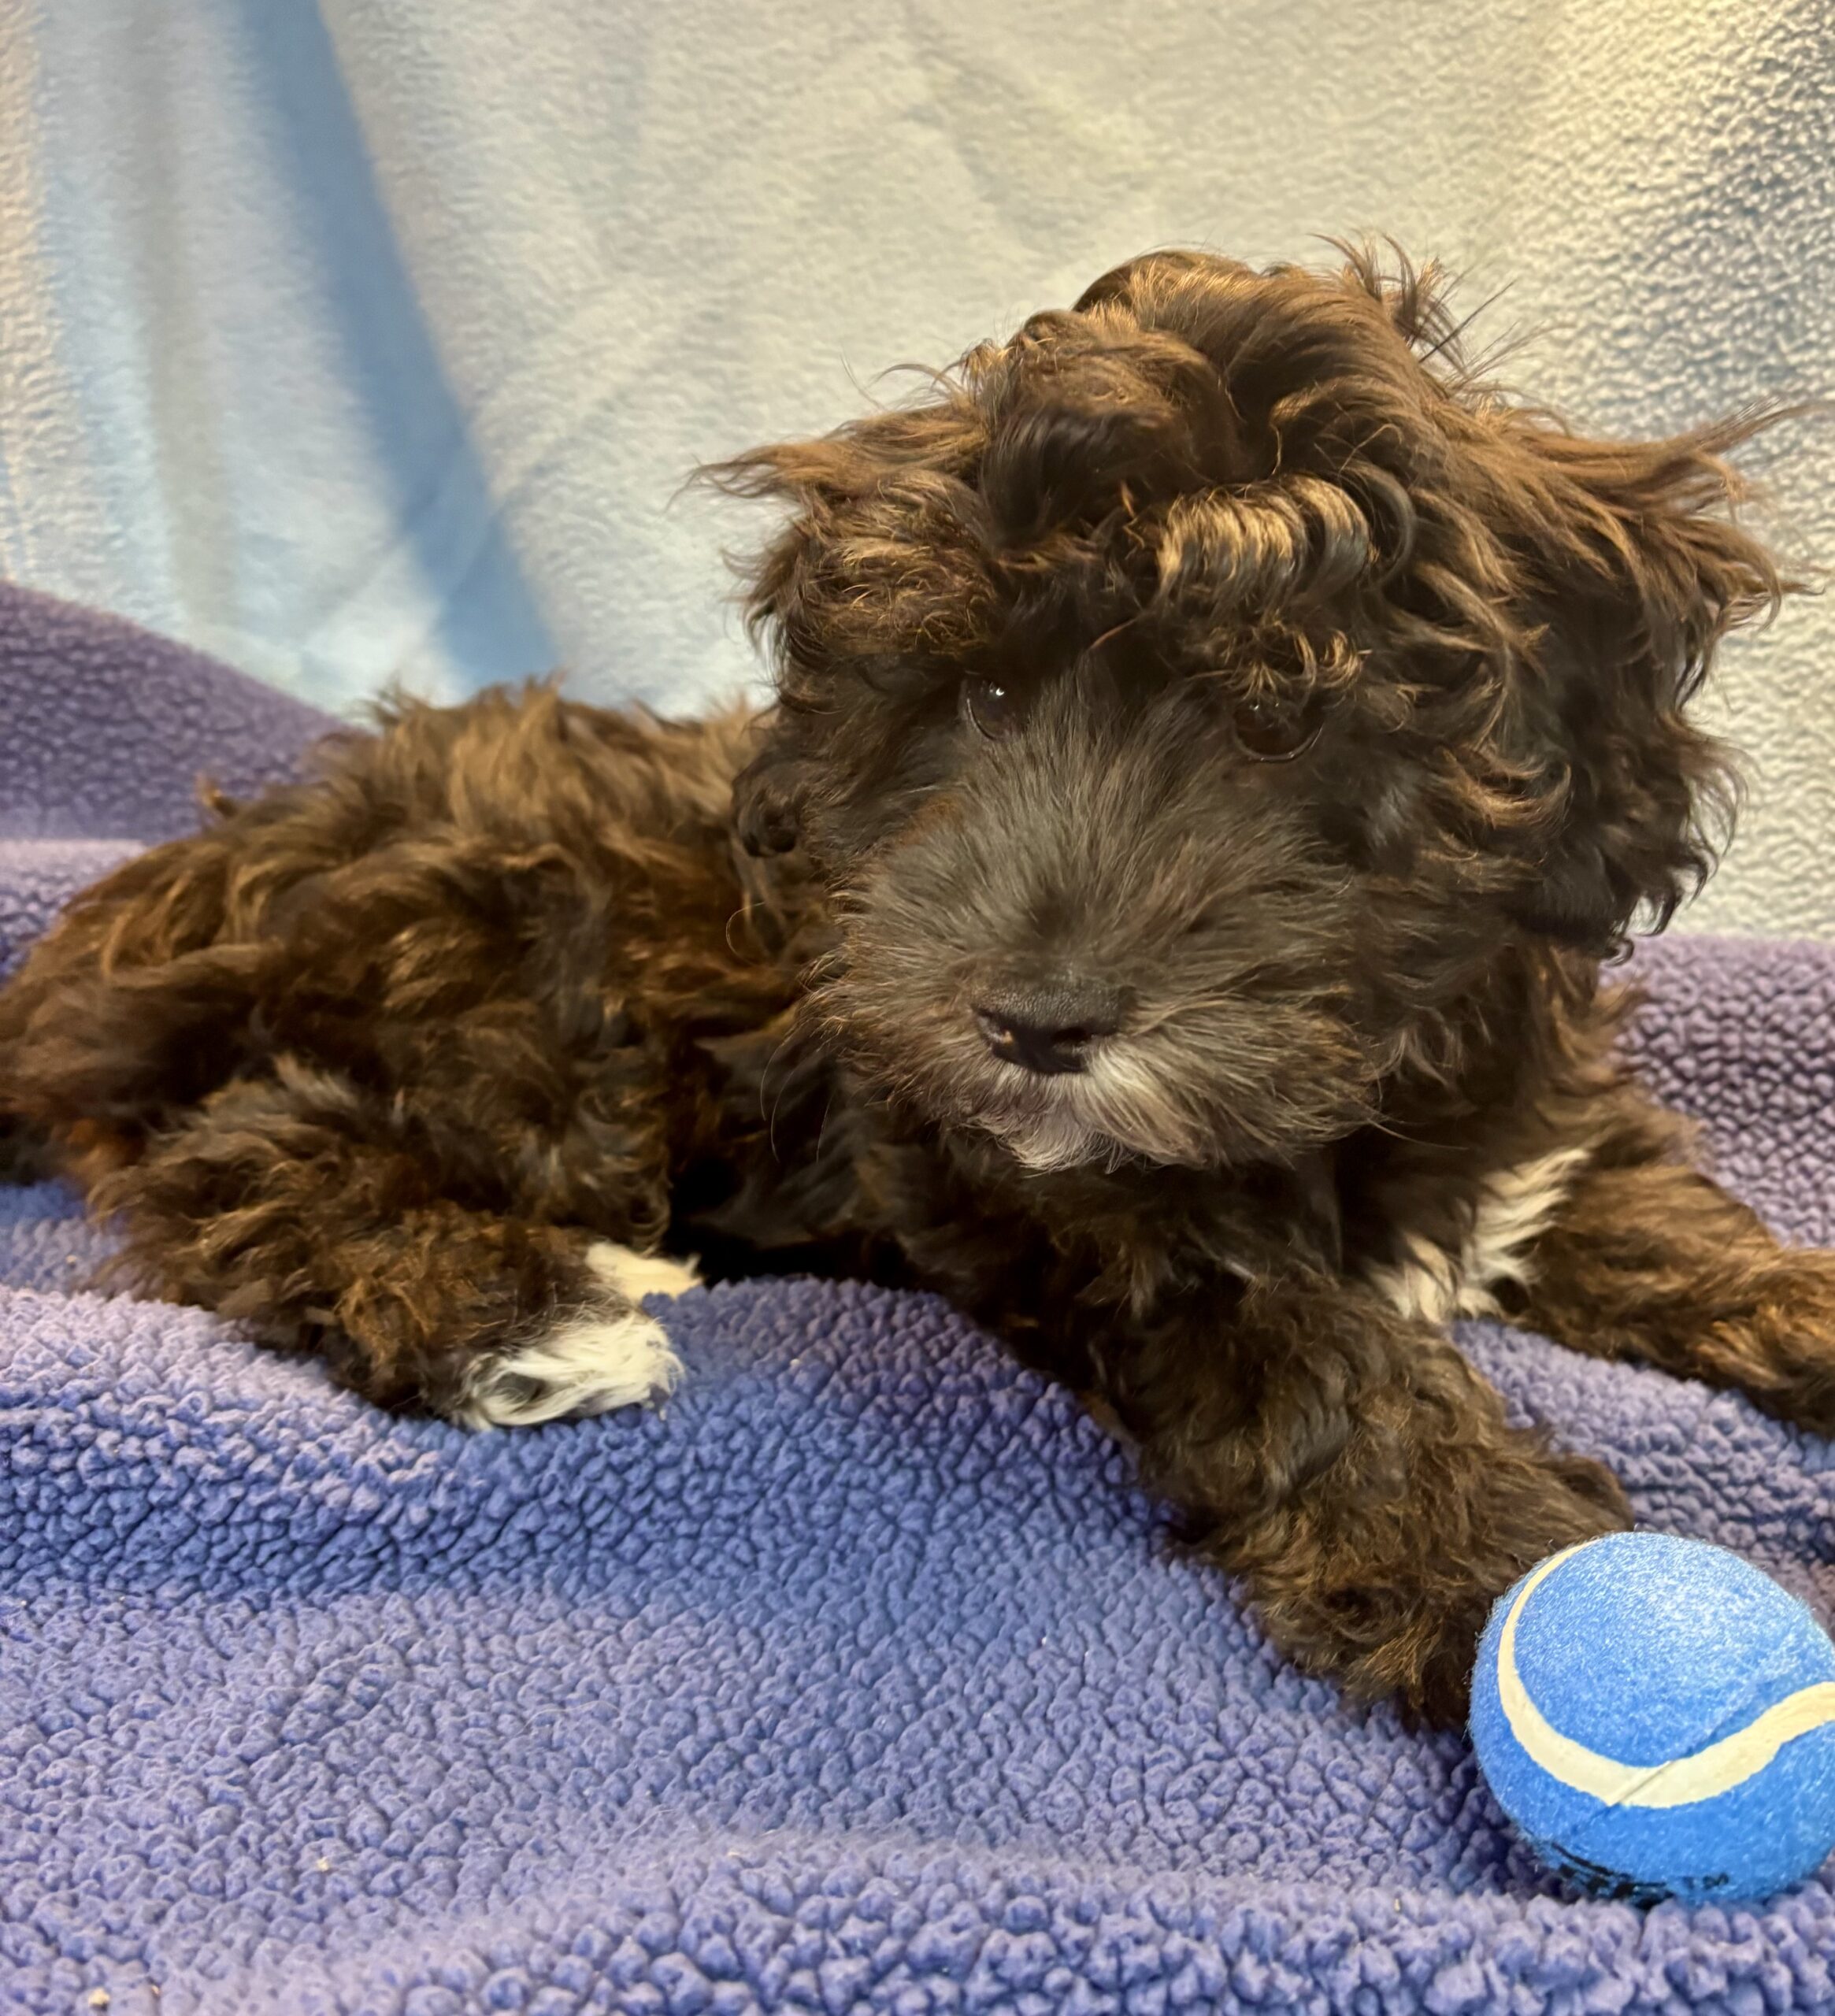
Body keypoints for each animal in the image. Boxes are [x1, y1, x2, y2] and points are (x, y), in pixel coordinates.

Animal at [3, 246, 1831, 1725]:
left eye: (1280, 723)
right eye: (987, 694)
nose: (1030, 1020)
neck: (1346, 1088)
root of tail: (198, 869)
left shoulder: (1525, 1120)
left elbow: (1646, 1210)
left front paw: (1793, 1312)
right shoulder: (1059, 1199)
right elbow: (1310, 1356)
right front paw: (1502, 1571)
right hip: (521, 986)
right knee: (233, 1149)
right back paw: (525, 1311)